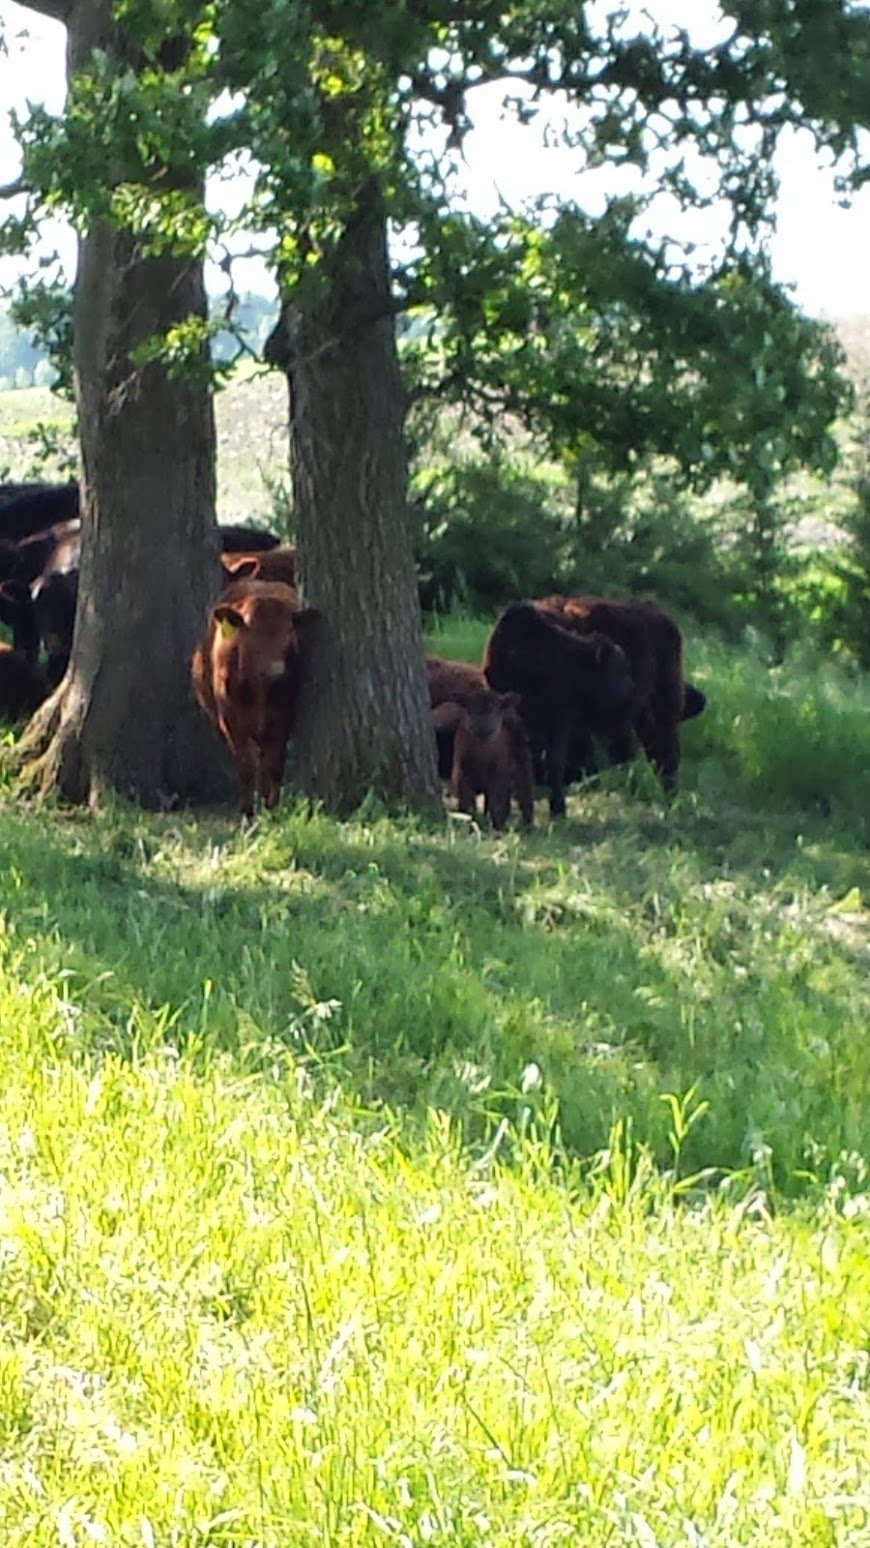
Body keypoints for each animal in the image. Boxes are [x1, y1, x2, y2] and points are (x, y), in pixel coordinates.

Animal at [191, 578, 321, 816]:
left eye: (290, 639)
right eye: (251, 638)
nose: (277, 671)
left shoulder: (283, 718)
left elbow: (275, 764)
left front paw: (272, 808)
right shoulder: (231, 721)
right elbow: (245, 766)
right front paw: (248, 811)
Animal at [446, 688, 534, 830]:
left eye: (495, 710)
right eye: (470, 709)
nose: (482, 726)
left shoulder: (499, 779)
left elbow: (498, 806)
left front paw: (497, 829)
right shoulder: (462, 777)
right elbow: (468, 806)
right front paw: (468, 826)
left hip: (522, 761)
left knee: (525, 793)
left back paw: (528, 826)